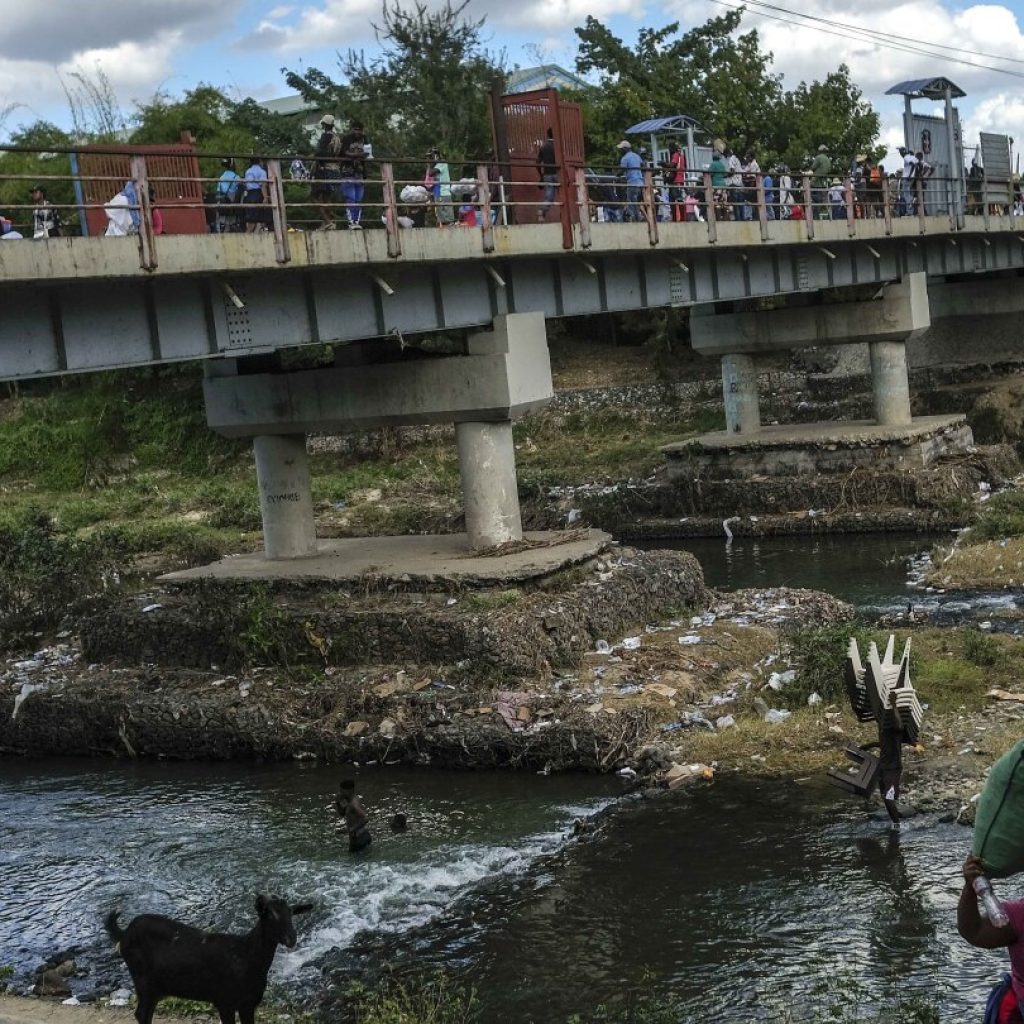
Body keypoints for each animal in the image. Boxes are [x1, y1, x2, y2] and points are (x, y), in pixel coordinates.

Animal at [104, 892, 313, 1019]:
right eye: (268, 915)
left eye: (292, 913)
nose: (291, 938)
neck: (246, 956)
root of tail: (124, 933)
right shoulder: (224, 1001)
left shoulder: (249, 1004)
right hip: (143, 980)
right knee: (141, 1014)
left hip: (157, 986)